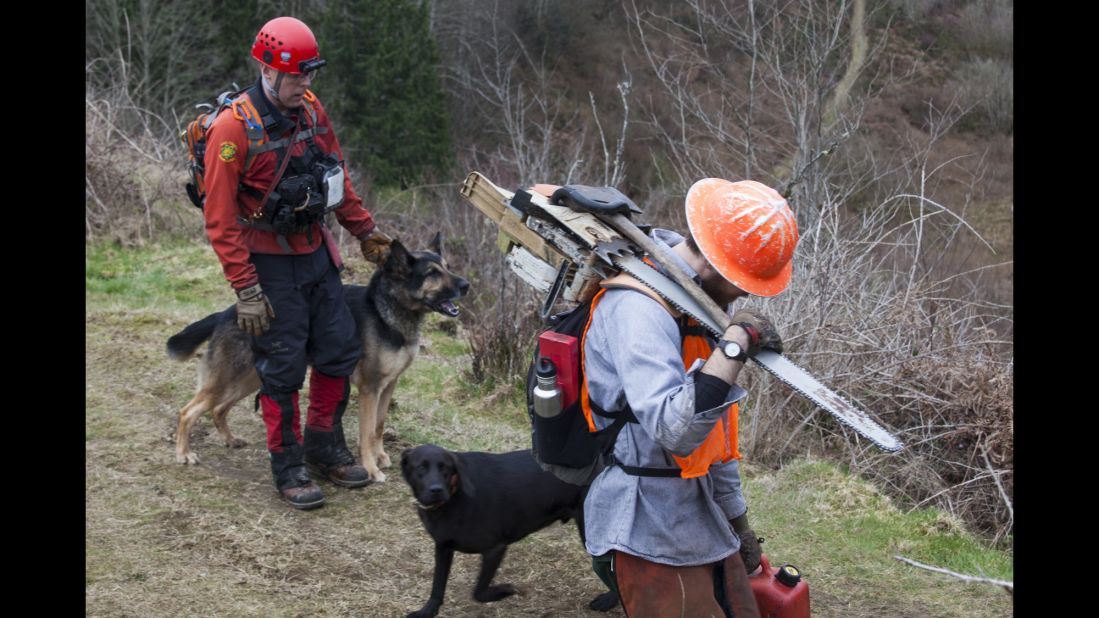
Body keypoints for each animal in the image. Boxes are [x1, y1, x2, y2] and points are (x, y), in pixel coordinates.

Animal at [165, 232, 468, 481]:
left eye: (447, 267)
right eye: (432, 273)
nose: (466, 285)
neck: (386, 309)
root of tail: (227, 313)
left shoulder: (389, 385)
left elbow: (379, 426)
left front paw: (381, 456)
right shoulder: (370, 389)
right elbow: (367, 432)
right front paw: (371, 469)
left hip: (247, 379)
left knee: (218, 409)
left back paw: (229, 439)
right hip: (227, 379)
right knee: (187, 412)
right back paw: (183, 454)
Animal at [400, 442, 619, 615]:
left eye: (445, 468)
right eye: (421, 467)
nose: (436, 490)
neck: (454, 497)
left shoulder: (495, 548)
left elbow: (479, 592)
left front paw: (504, 591)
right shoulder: (443, 547)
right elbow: (437, 585)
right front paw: (427, 611)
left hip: (593, 533)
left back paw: (608, 601)